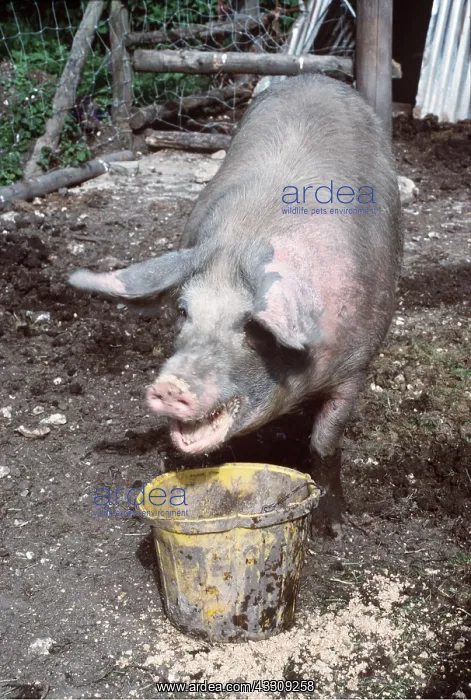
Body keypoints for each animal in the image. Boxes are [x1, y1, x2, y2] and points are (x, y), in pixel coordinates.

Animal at [69, 74, 402, 534]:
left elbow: (325, 441)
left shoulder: (356, 365)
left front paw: (333, 527)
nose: (171, 386)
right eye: (183, 311)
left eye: (251, 328)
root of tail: (316, 77)